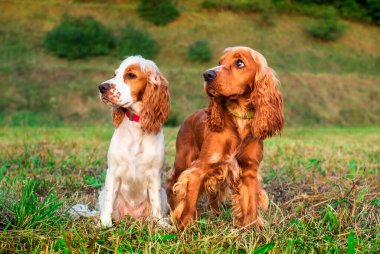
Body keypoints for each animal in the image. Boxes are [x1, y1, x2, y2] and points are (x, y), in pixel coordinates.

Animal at [97, 55, 170, 226]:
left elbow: (156, 201)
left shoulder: (155, 174)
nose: (101, 87)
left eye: (131, 75)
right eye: (115, 74)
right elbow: (109, 199)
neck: (137, 126)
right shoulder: (113, 171)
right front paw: (104, 223)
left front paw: (161, 223)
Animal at [166, 46, 282, 229]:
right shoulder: (200, 168)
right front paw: (183, 226)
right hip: (182, 159)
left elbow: (250, 206)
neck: (240, 120)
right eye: (220, 62)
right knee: (171, 181)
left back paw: (216, 213)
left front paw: (252, 229)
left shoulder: (249, 171)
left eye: (239, 63)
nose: (207, 74)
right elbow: (189, 203)